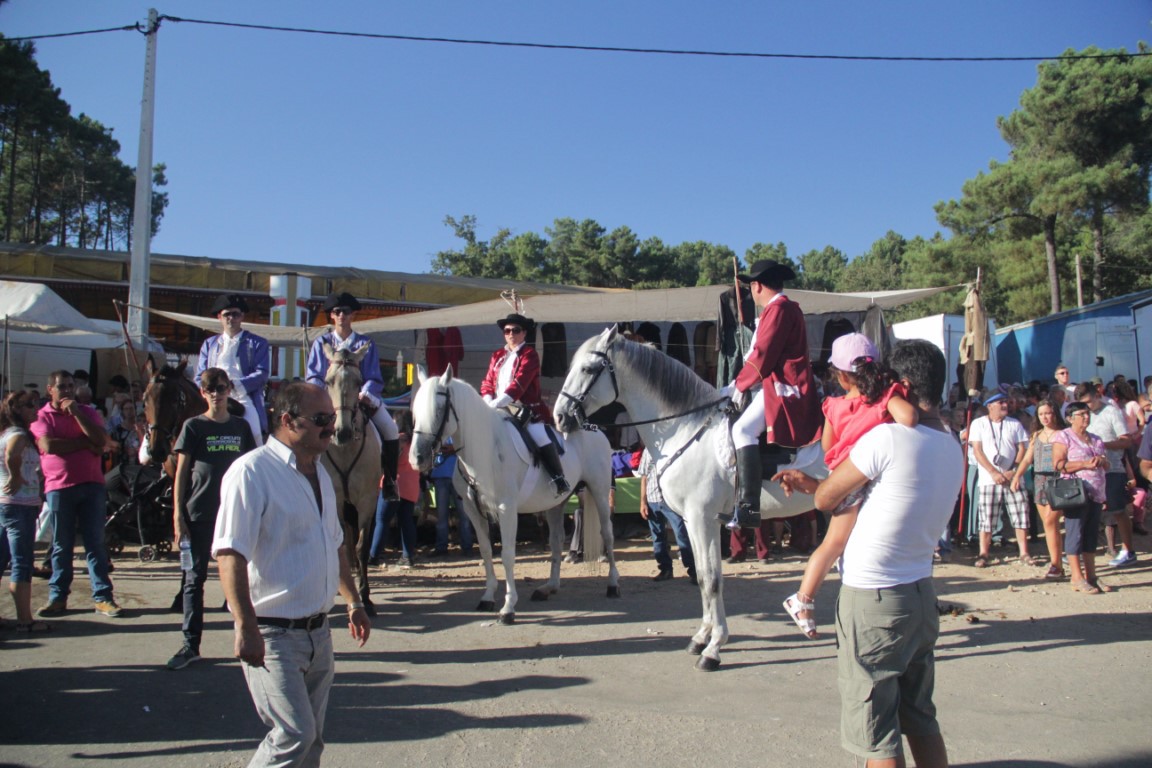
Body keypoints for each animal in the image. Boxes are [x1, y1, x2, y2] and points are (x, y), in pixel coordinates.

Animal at [407, 366, 617, 626]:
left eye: (438, 411)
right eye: (415, 411)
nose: (417, 458)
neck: (485, 449)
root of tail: (593, 428)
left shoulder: (506, 510)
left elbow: (507, 555)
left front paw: (508, 608)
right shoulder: (473, 511)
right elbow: (486, 551)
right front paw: (487, 597)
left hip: (599, 492)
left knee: (607, 535)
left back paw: (613, 585)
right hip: (556, 504)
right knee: (556, 541)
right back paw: (549, 587)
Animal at [550, 327, 829, 667]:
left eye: (588, 369)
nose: (559, 418)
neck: (685, 427)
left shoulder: (701, 518)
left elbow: (710, 578)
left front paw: (714, 648)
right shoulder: (698, 521)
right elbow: (704, 576)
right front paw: (701, 638)